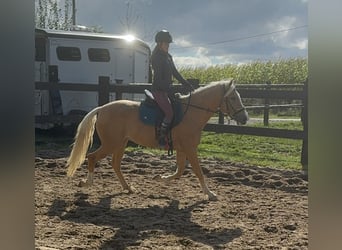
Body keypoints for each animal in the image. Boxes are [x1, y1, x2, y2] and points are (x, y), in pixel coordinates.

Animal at [66, 79, 248, 200]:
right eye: (233, 98)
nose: (245, 118)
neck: (191, 112)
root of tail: (102, 108)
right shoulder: (190, 148)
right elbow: (198, 171)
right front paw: (210, 193)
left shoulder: (182, 149)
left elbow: (180, 171)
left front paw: (160, 178)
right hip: (111, 144)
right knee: (92, 157)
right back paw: (87, 183)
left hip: (120, 143)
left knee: (115, 164)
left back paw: (128, 187)